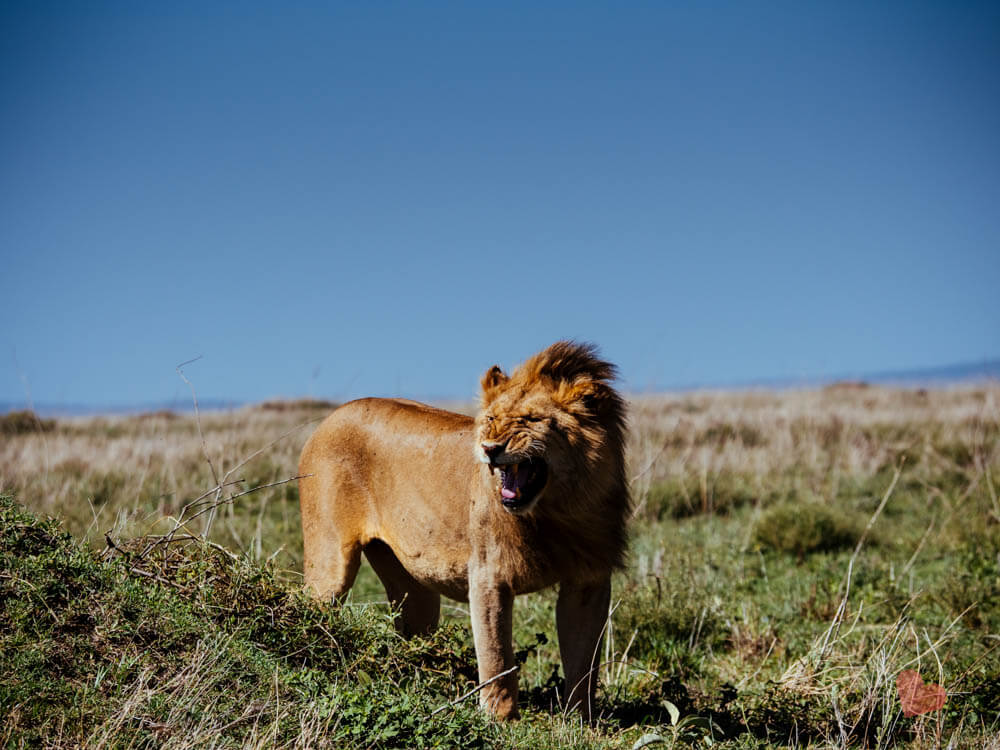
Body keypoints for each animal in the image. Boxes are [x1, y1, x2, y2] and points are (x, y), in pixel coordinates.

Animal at [296, 342, 628, 724]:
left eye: (531, 419)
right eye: (492, 419)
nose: (490, 449)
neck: (556, 511)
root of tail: (330, 417)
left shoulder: (589, 579)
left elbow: (584, 661)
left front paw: (580, 721)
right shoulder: (488, 574)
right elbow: (496, 657)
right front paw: (499, 720)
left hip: (414, 589)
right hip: (330, 567)